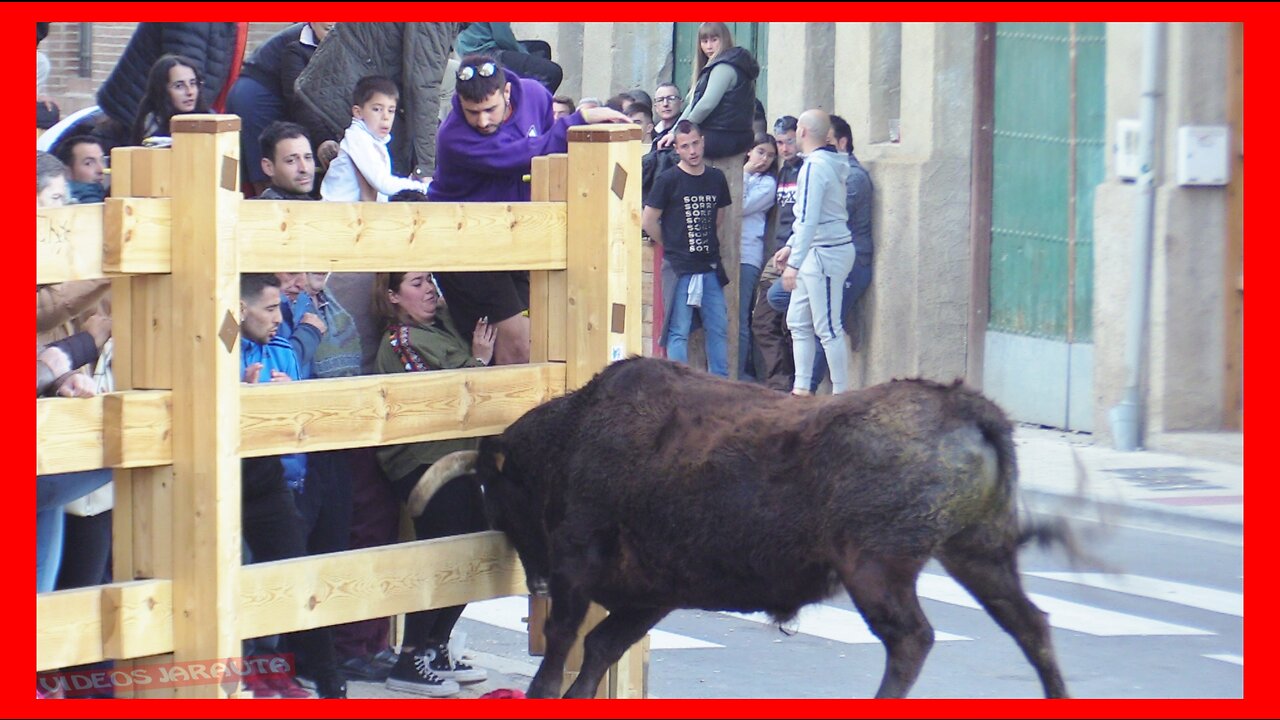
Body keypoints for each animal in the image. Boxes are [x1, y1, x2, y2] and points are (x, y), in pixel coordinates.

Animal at [419, 356, 1070, 696]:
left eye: (496, 491)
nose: (534, 583)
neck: (575, 434)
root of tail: (964, 407)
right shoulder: (652, 594)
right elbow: (602, 647)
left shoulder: (578, 568)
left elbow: (561, 648)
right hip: (978, 554)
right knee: (1031, 625)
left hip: (877, 571)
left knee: (912, 638)